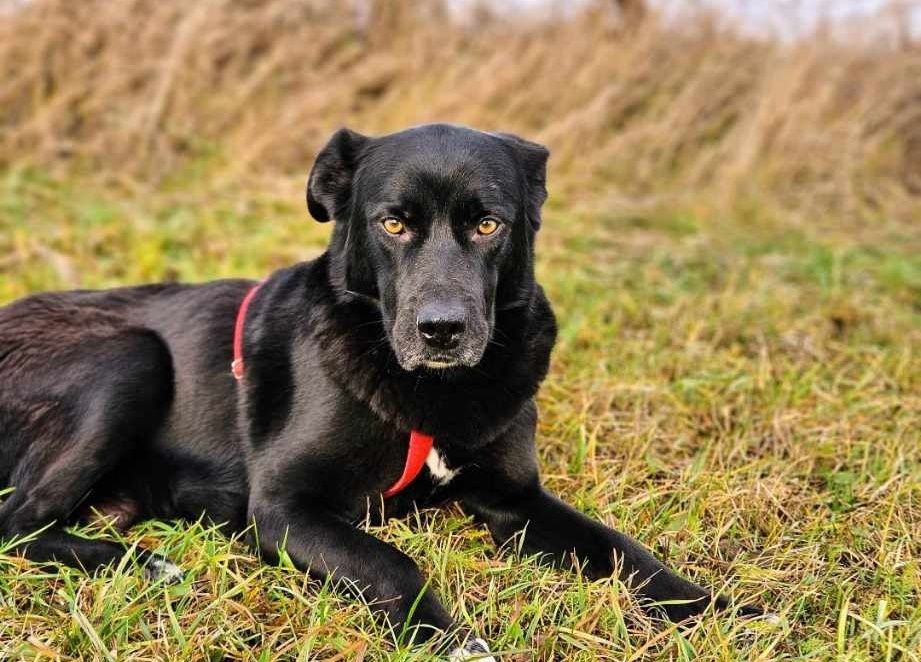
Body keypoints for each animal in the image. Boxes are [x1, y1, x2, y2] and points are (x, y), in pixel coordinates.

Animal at [0, 123, 760, 660]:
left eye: (488, 224)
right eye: (393, 223)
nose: (442, 331)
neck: (428, 390)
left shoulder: (515, 499)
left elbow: (625, 551)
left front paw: (725, 615)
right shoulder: (284, 508)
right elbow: (390, 561)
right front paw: (454, 643)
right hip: (133, 356)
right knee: (16, 523)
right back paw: (145, 563)